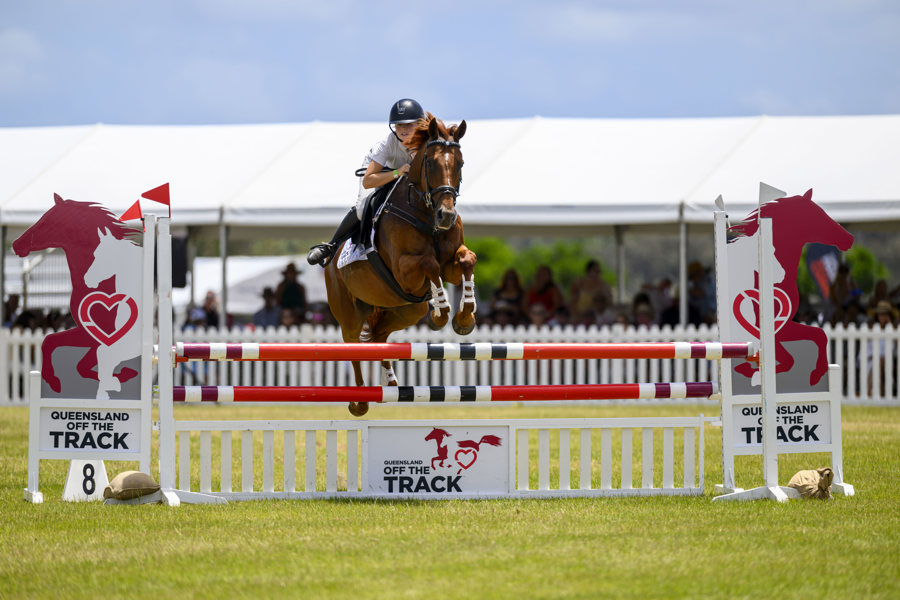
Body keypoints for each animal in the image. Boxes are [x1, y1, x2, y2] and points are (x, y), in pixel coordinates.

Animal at [12, 195, 141, 396]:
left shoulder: (100, 337)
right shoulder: (87, 332)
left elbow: (84, 366)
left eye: (46, 221)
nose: (16, 245)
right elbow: (50, 342)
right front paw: (53, 382)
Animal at [324, 115, 477, 416]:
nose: (446, 215)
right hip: (349, 312)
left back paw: (391, 383)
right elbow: (430, 264)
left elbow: (467, 260)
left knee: (379, 336)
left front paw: (464, 318)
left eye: (461, 163)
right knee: (353, 346)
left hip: (407, 309)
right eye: (430, 163)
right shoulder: (404, 271)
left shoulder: (451, 264)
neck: (427, 214)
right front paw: (441, 313)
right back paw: (359, 401)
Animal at [727, 189, 853, 386]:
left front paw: (817, 374)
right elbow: (787, 360)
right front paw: (750, 371)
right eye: (818, 215)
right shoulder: (767, 328)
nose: (849, 239)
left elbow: (819, 334)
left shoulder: (784, 325)